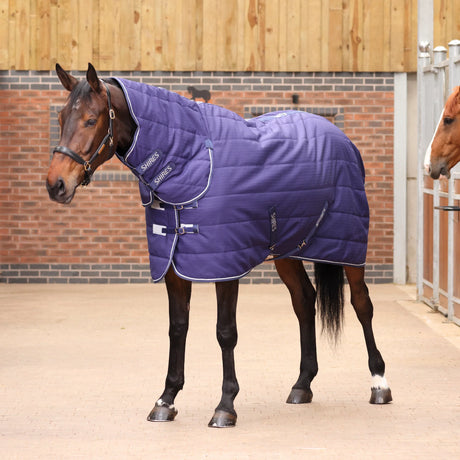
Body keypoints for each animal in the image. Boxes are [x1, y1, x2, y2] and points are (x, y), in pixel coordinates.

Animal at [45, 63, 392, 428]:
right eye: (61, 117)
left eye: (91, 119)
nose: (56, 184)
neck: (191, 159)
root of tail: (342, 140)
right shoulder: (174, 266)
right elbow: (177, 328)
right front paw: (166, 400)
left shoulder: (225, 267)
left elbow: (225, 332)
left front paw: (225, 405)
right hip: (287, 251)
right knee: (304, 301)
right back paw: (302, 385)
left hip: (349, 247)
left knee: (362, 304)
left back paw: (379, 384)